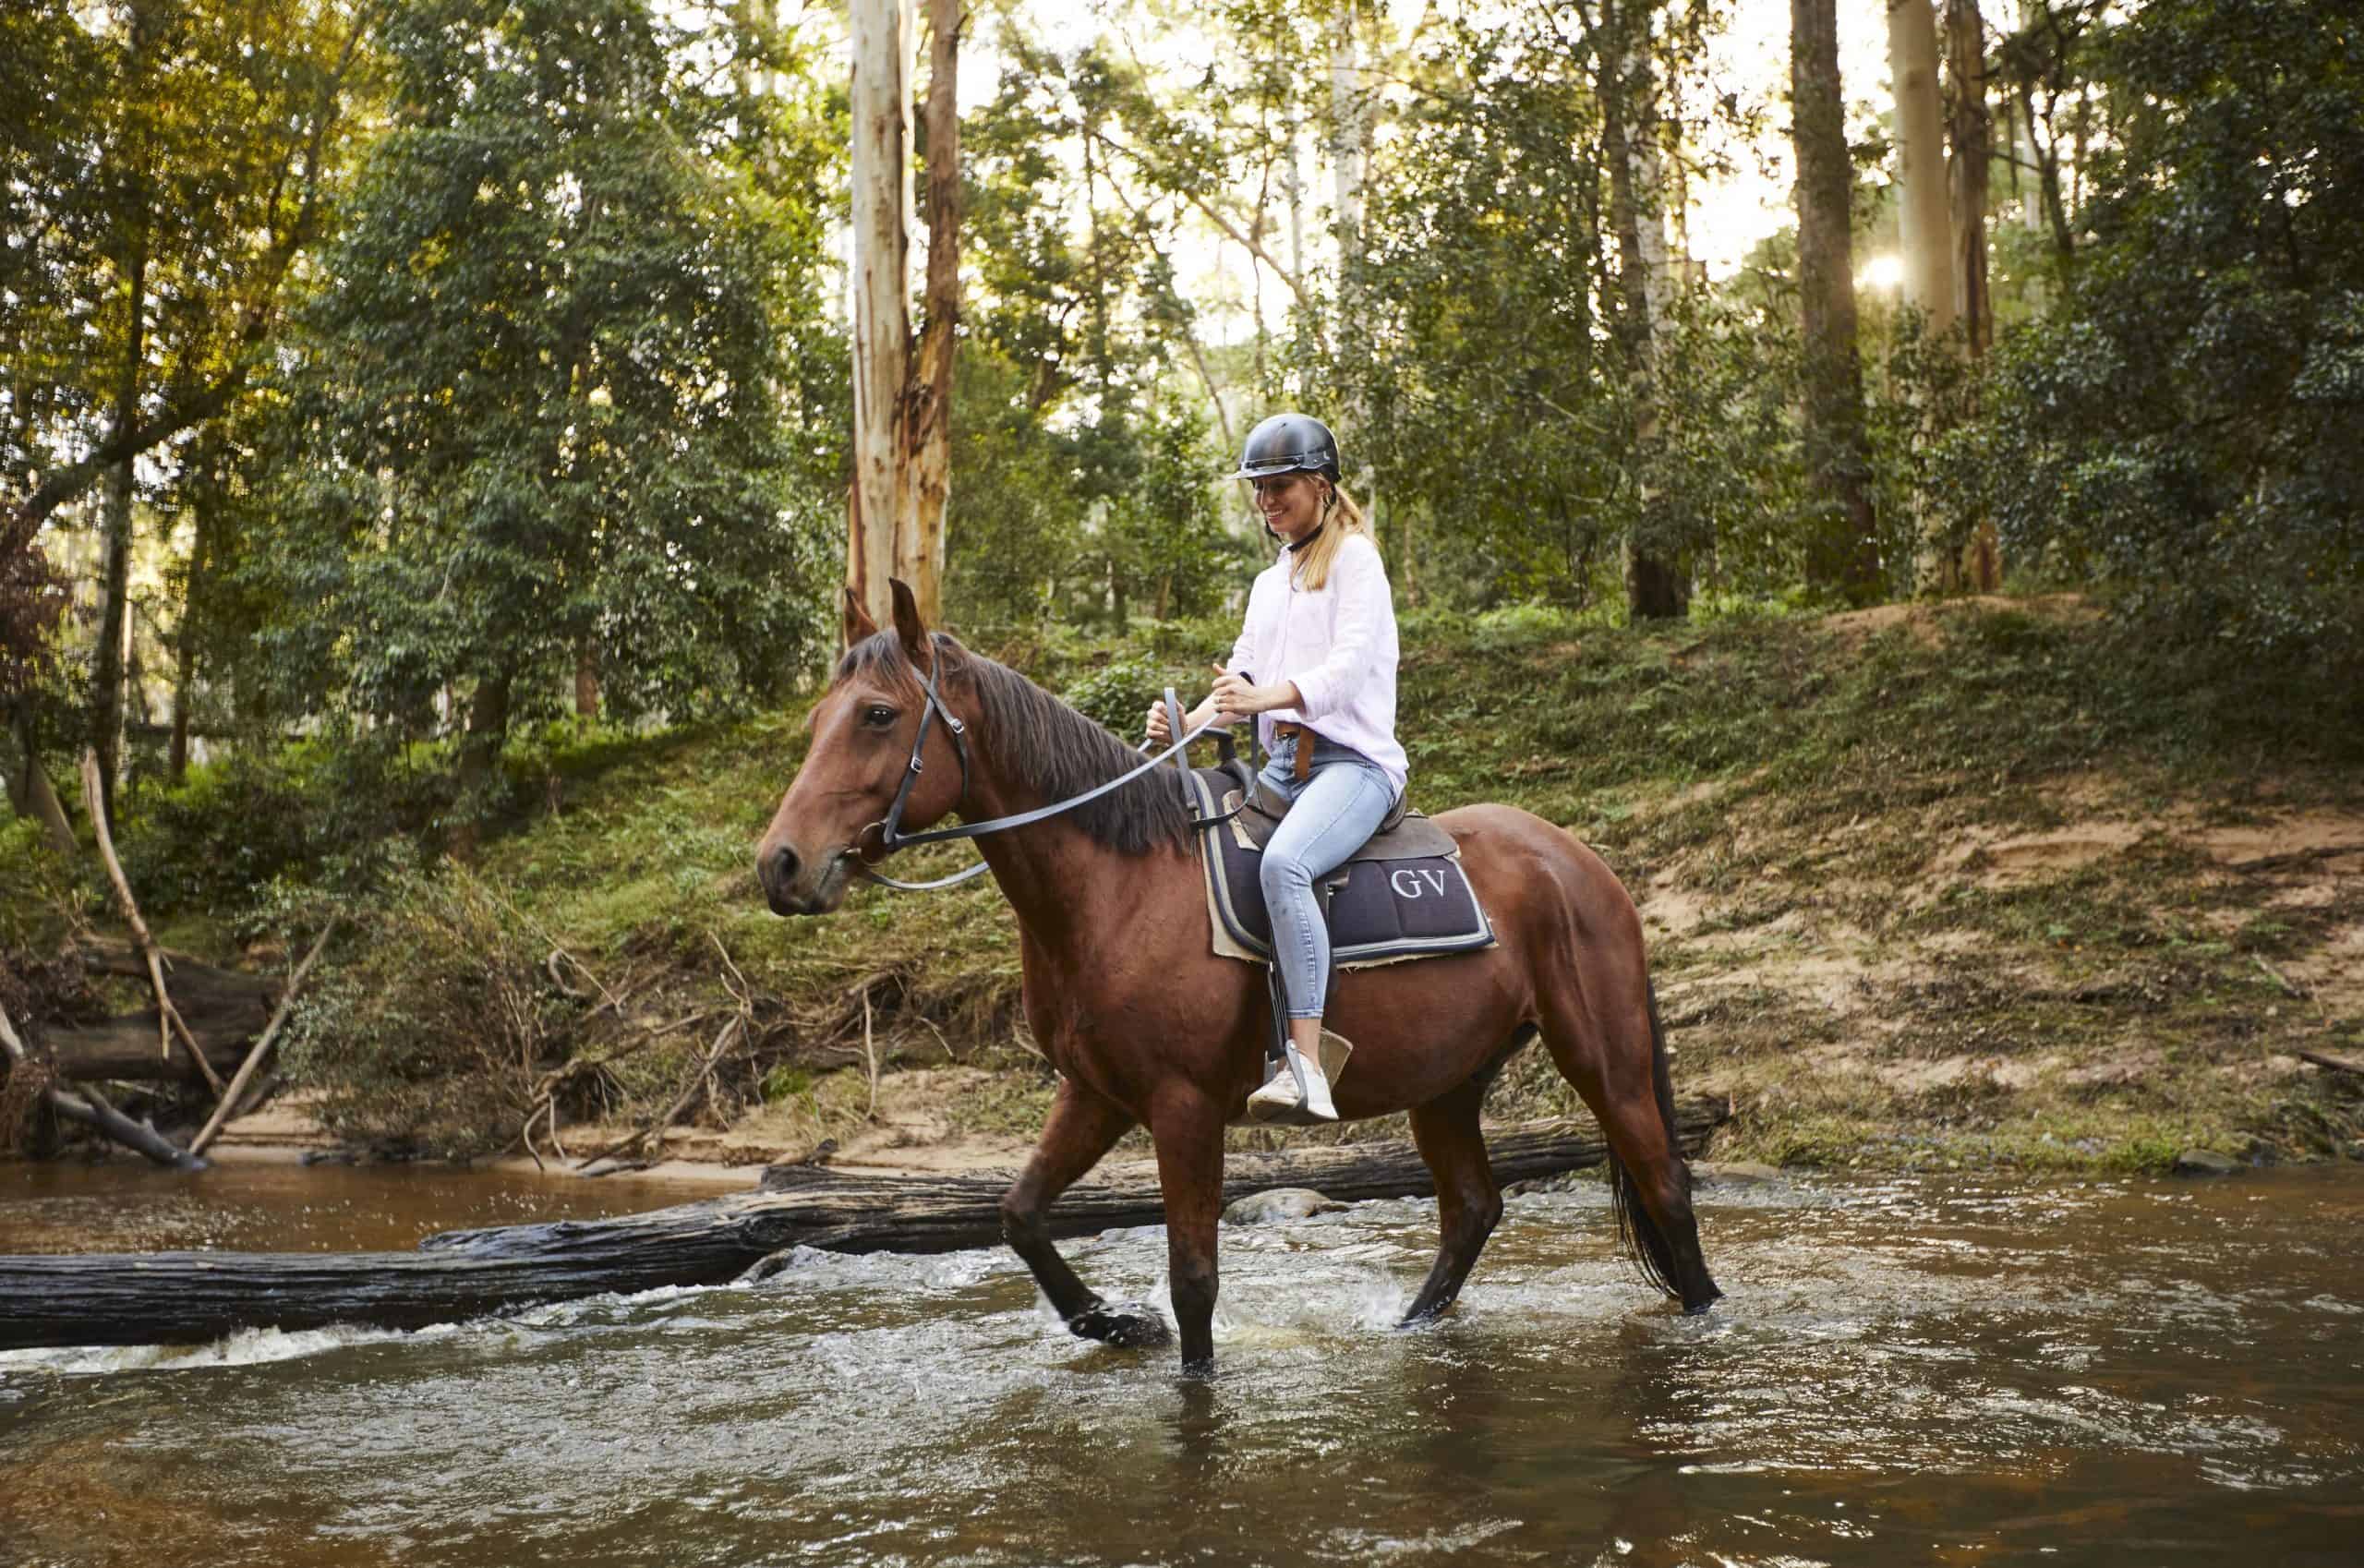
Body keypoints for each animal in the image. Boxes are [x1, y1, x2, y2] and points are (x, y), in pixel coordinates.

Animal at [756, 581, 1719, 1376]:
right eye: (818, 719)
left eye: (879, 715)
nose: (782, 865)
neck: (1120, 884)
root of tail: (1582, 864)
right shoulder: (1095, 1094)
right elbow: (1019, 1214)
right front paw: (1115, 1322)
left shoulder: (1182, 1108)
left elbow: (1193, 1279)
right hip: (1448, 1082)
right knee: (1474, 1210)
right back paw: (1410, 1328)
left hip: (1603, 1056)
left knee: (1664, 1185)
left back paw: (1706, 1318)